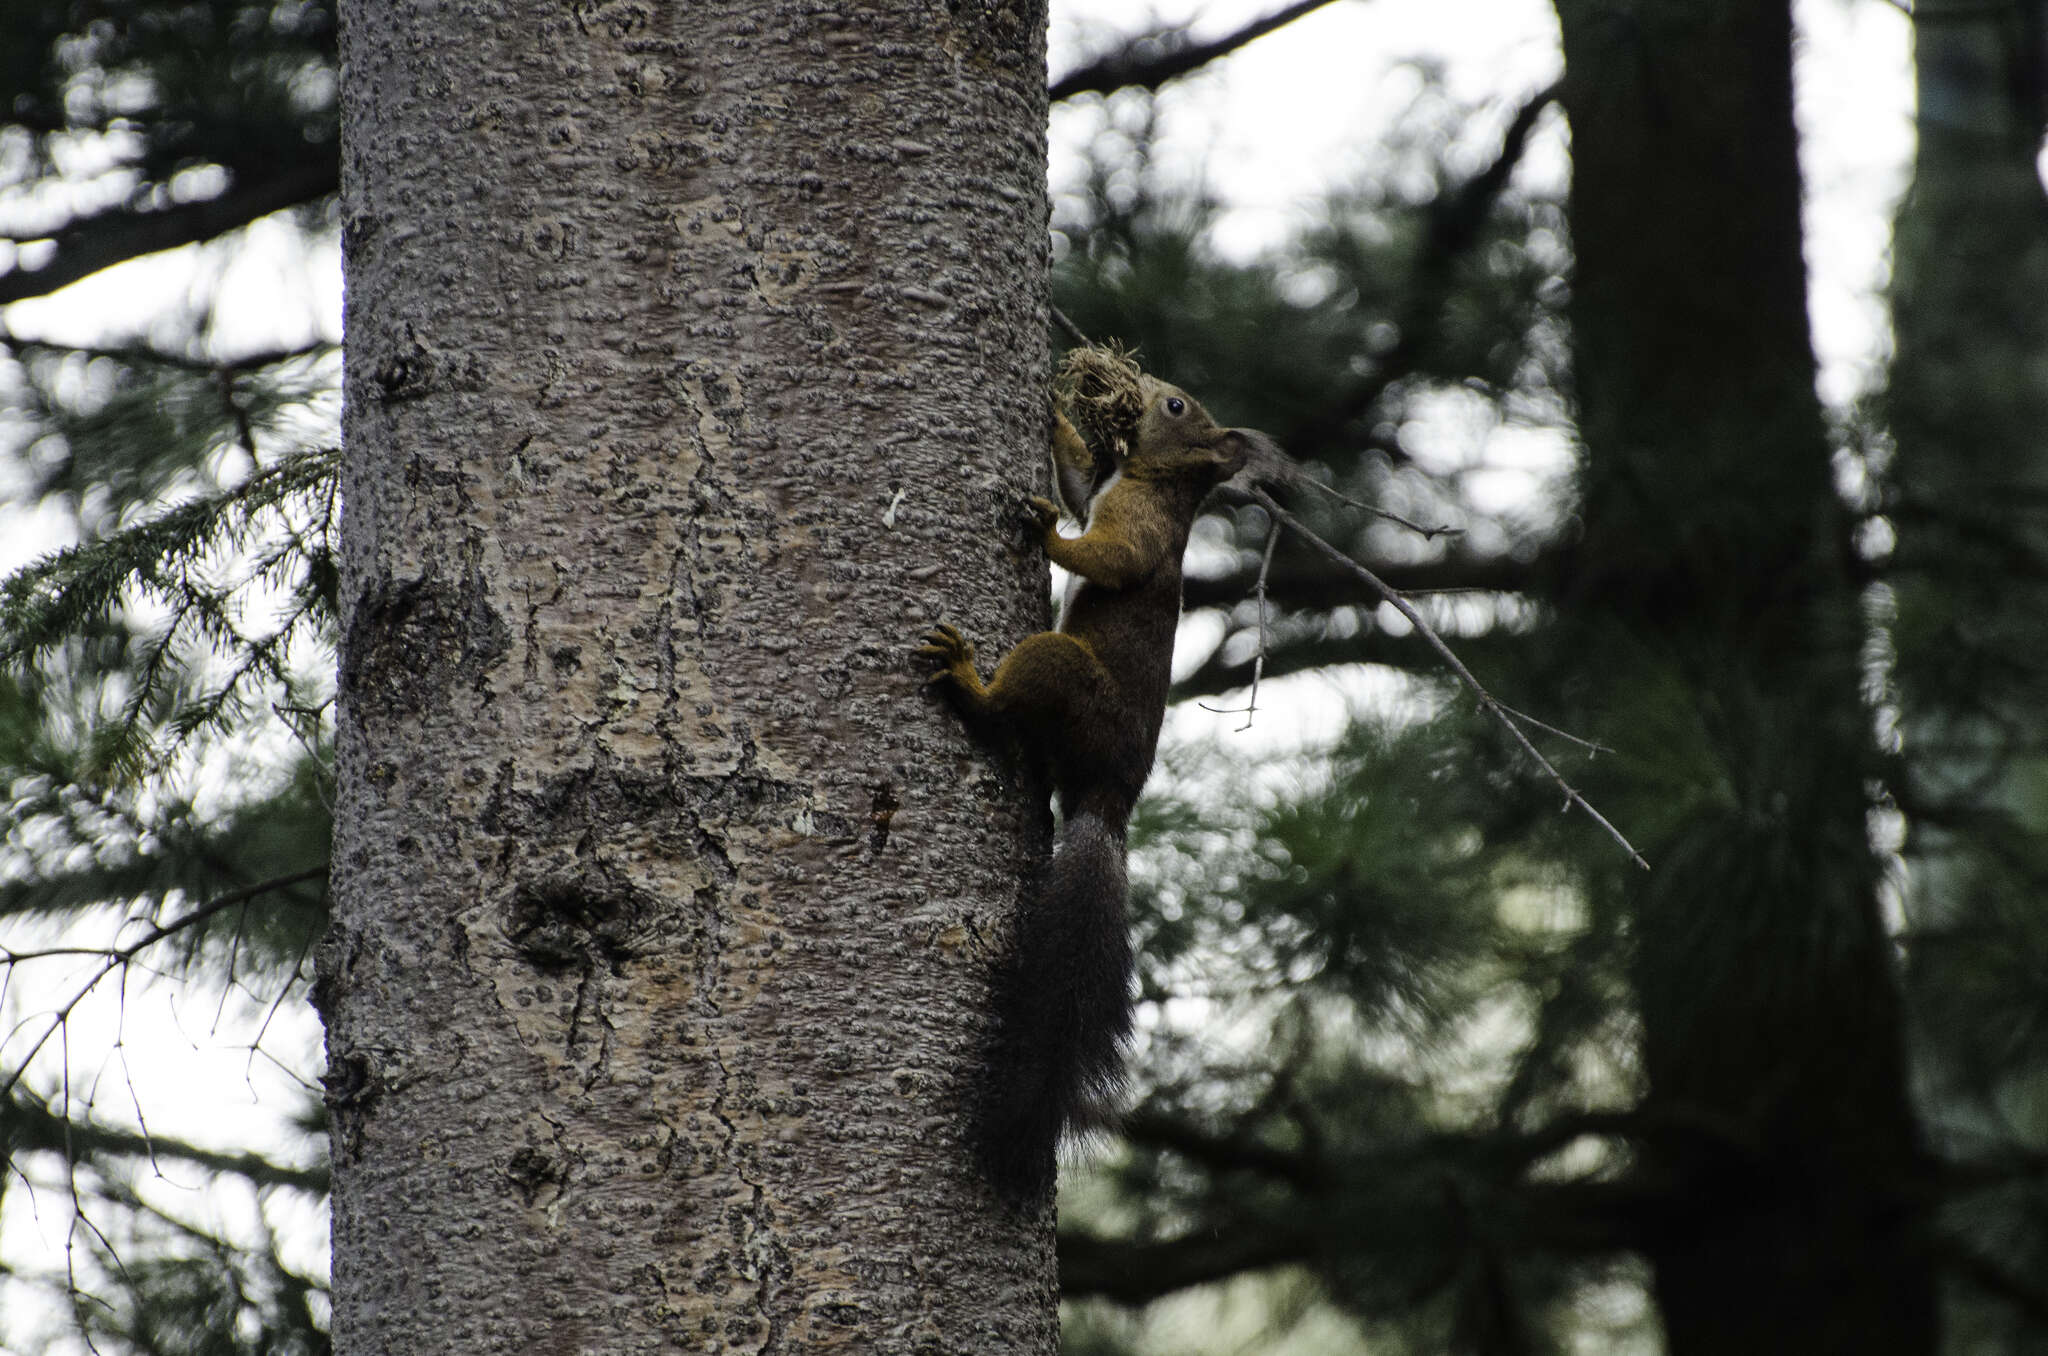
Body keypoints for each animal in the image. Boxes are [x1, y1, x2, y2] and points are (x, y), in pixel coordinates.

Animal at [917, 372, 1269, 1204]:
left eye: (1176, 407)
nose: (1146, 386)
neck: (1154, 478)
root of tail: (1109, 800)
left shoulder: (1138, 526)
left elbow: (1107, 555)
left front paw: (1046, 534)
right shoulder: (1103, 489)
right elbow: (1079, 482)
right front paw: (1054, 411)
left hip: (1063, 671)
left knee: (1009, 701)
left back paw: (968, 680)